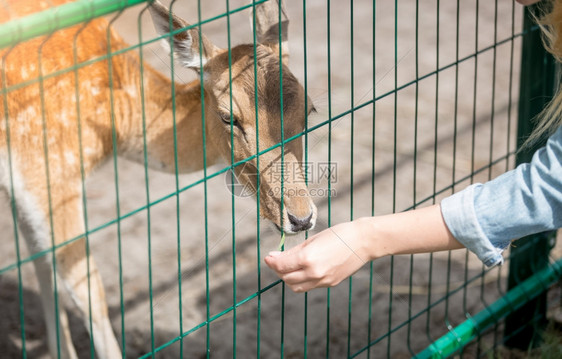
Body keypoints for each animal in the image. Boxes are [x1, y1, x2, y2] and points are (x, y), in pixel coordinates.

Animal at [0, 0, 316, 358]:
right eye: (228, 117)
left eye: (309, 110)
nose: (301, 217)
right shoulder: (48, 171)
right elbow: (88, 294)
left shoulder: (20, 186)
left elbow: (43, 268)